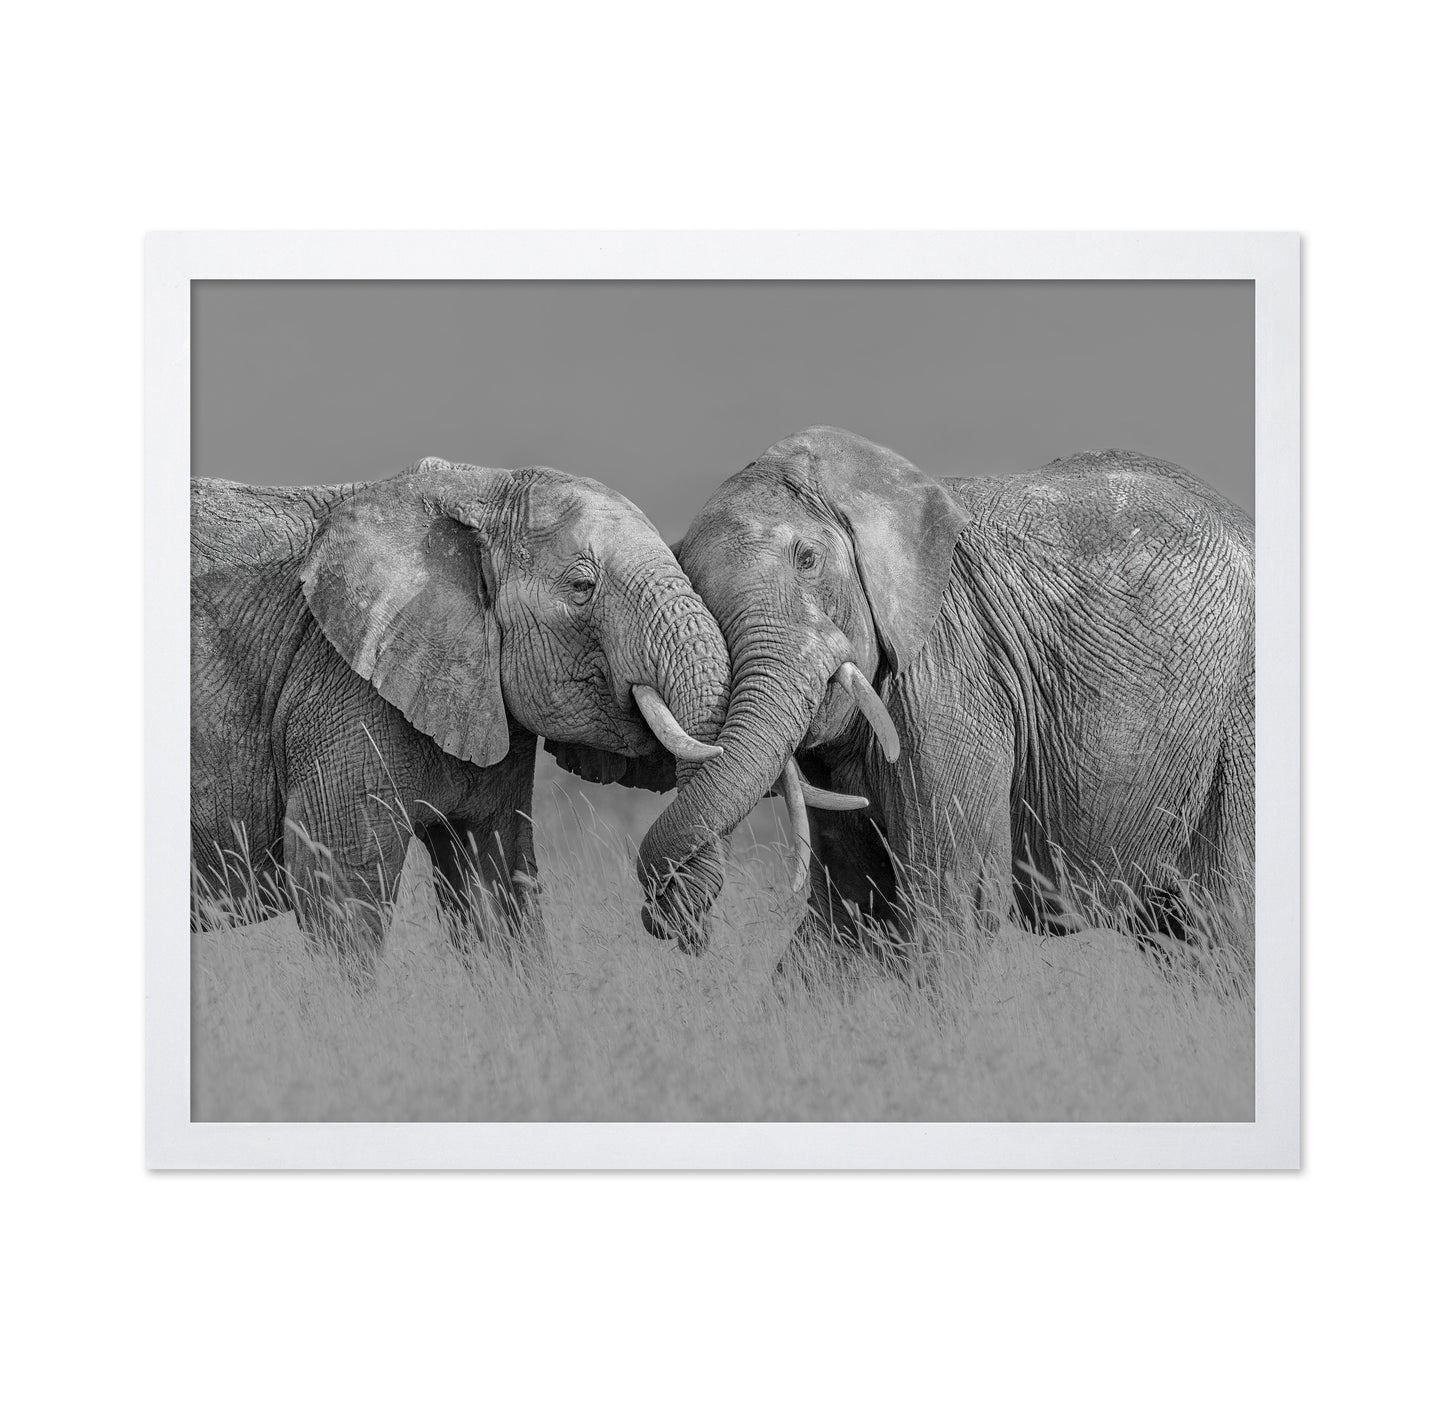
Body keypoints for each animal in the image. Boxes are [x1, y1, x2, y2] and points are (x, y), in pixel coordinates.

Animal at [191, 455, 730, 954]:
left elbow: (495, 886)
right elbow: (340, 888)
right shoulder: (339, 687)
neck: (475, 491)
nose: (679, 927)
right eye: (582, 587)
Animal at [626, 426, 1255, 960]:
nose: (684, 930)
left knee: (1227, 922)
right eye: (693, 585)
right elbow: (847, 914)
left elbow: (952, 901)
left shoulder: (951, 671)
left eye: (807, 559)